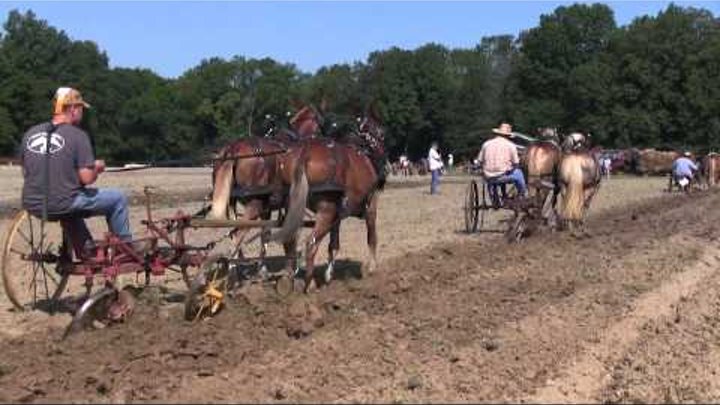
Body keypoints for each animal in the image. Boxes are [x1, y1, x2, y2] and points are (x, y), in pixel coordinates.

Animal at [272, 112, 388, 292]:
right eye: (382, 135)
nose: (385, 169)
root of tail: (304, 154)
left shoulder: (338, 216)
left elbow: (334, 244)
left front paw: (328, 275)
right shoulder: (371, 203)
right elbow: (372, 237)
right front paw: (371, 268)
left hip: (294, 207)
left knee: (289, 242)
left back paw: (287, 279)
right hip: (327, 210)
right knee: (310, 243)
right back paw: (309, 283)